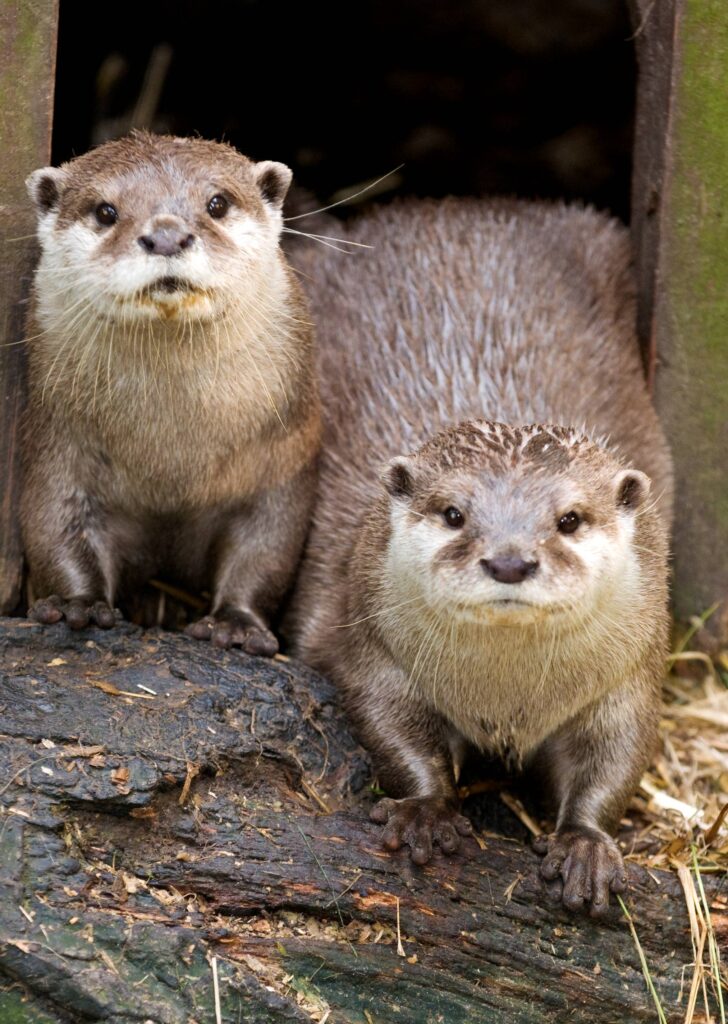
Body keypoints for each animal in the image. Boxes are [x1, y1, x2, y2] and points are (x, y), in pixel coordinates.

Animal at [22, 131, 320, 655]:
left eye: (217, 203)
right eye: (105, 211)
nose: (165, 236)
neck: (171, 464)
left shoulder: (282, 461)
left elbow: (265, 548)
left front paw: (236, 624)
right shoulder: (57, 450)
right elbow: (54, 523)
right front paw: (78, 604)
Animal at [289, 198, 672, 915]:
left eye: (569, 519)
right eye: (454, 514)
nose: (510, 562)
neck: (507, 699)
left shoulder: (627, 677)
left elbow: (617, 758)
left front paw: (585, 847)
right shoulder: (365, 639)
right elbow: (389, 725)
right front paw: (426, 812)